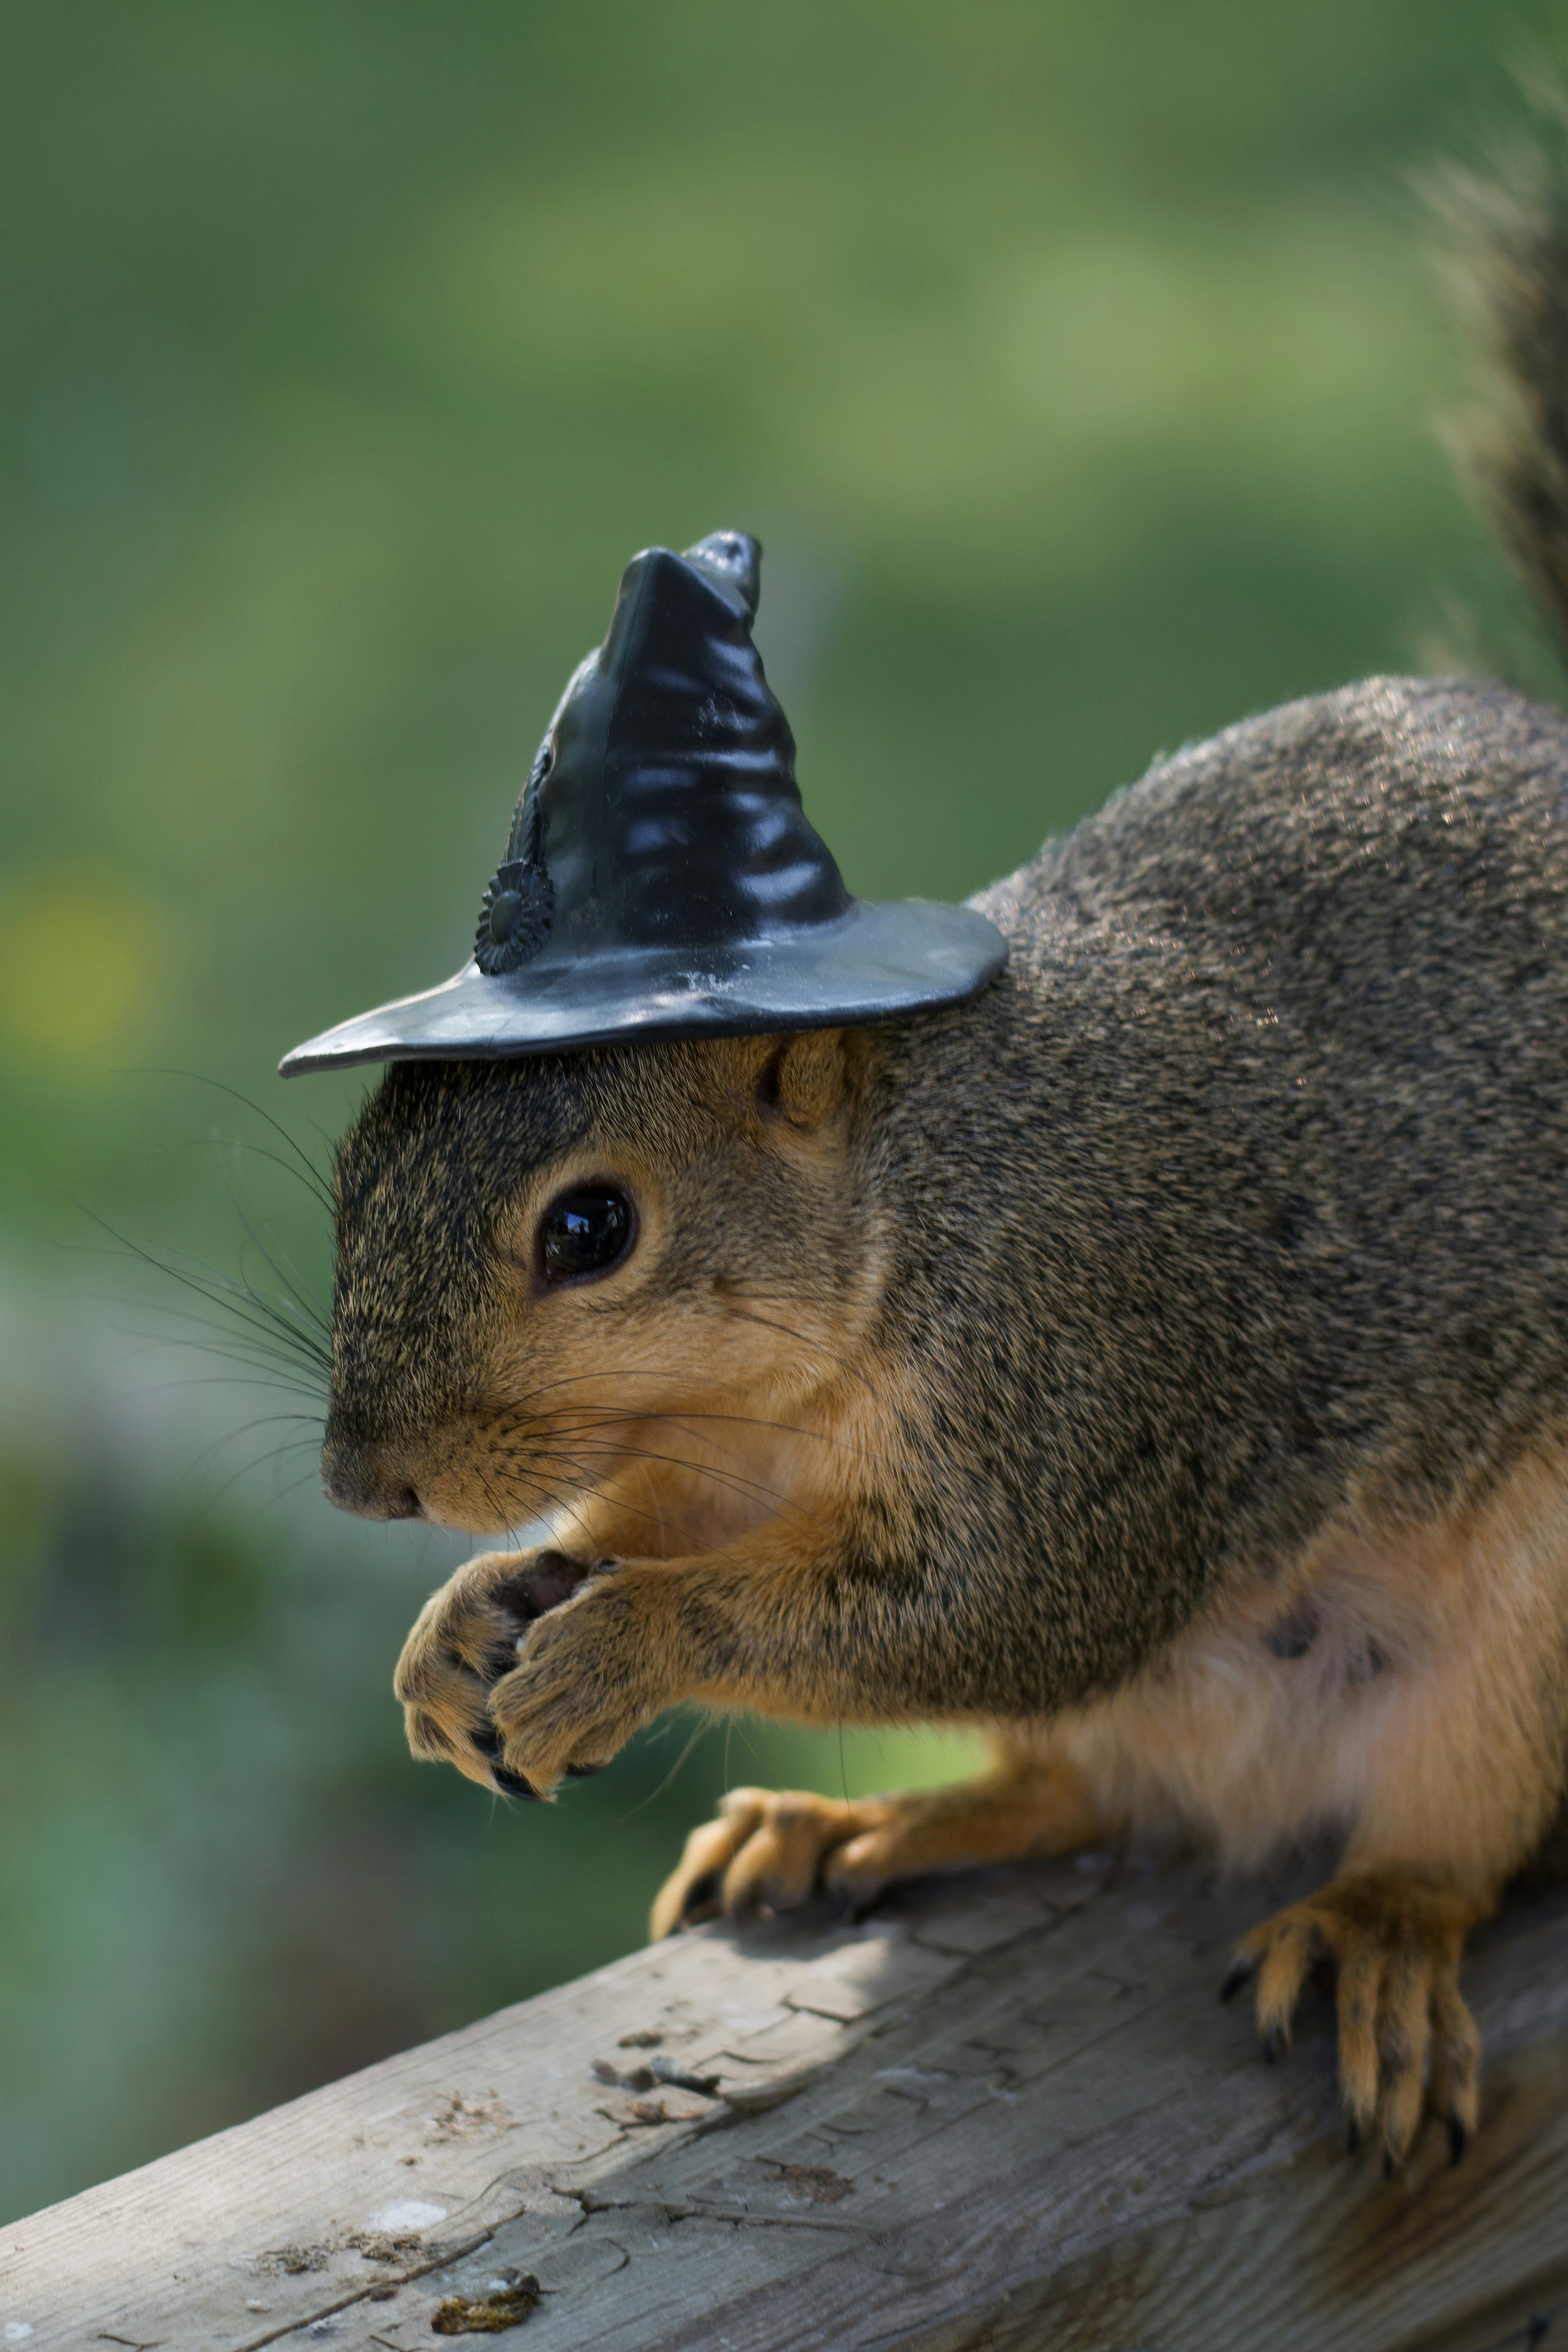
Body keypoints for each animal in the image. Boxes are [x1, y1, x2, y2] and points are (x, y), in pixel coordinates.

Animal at [316, 138, 1568, 2170]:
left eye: (591, 1227)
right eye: (357, 1166)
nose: (366, 1485)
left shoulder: (1092, 1384)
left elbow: (970, 1602)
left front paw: (623, 1639)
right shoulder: (723, 1444)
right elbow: (665, 1533)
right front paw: (471, 1615)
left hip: (1526, 1648)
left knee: (1441, 1846)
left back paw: (1375, 1932)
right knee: (1078, 1785)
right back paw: (865, 1820)